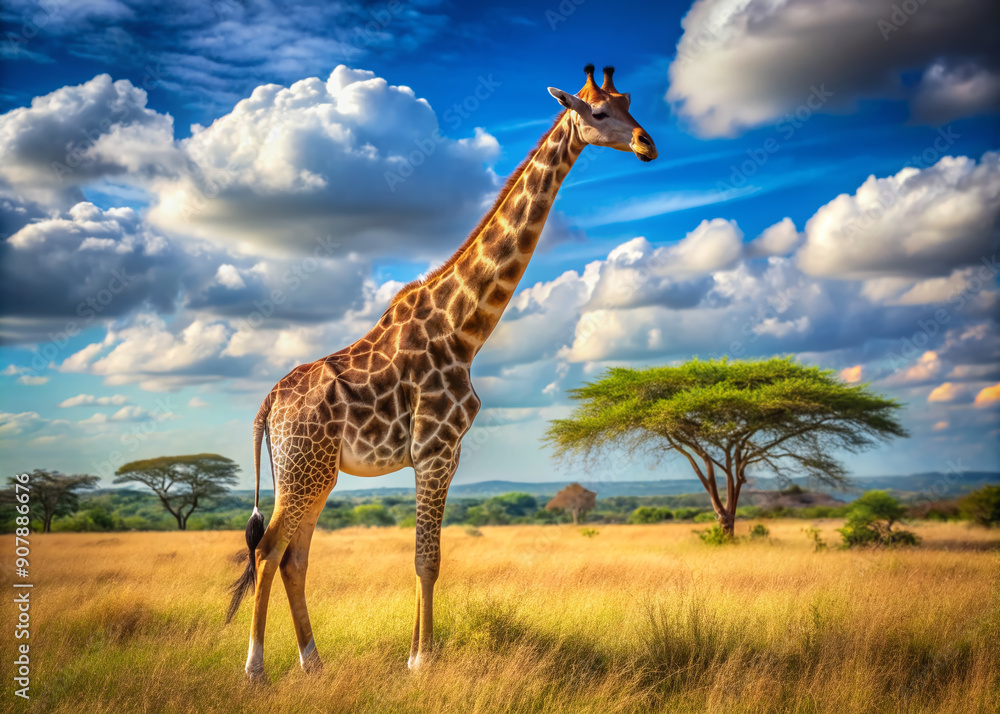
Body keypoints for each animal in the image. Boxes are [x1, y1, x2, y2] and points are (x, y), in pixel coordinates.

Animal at [227, 64, 658, 680]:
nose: (648, 145)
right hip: (302, 469)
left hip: (313, 472)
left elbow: (426, 558)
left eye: (628, 102)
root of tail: (270, 402)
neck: (465, 329)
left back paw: (315, 664)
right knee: (268, 550)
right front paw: (422, 662)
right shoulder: (436, 447)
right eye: (598, 113)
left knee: (294, 557)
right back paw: (257, 670)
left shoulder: (444, 452)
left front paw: (416, 654)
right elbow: (426, 560)